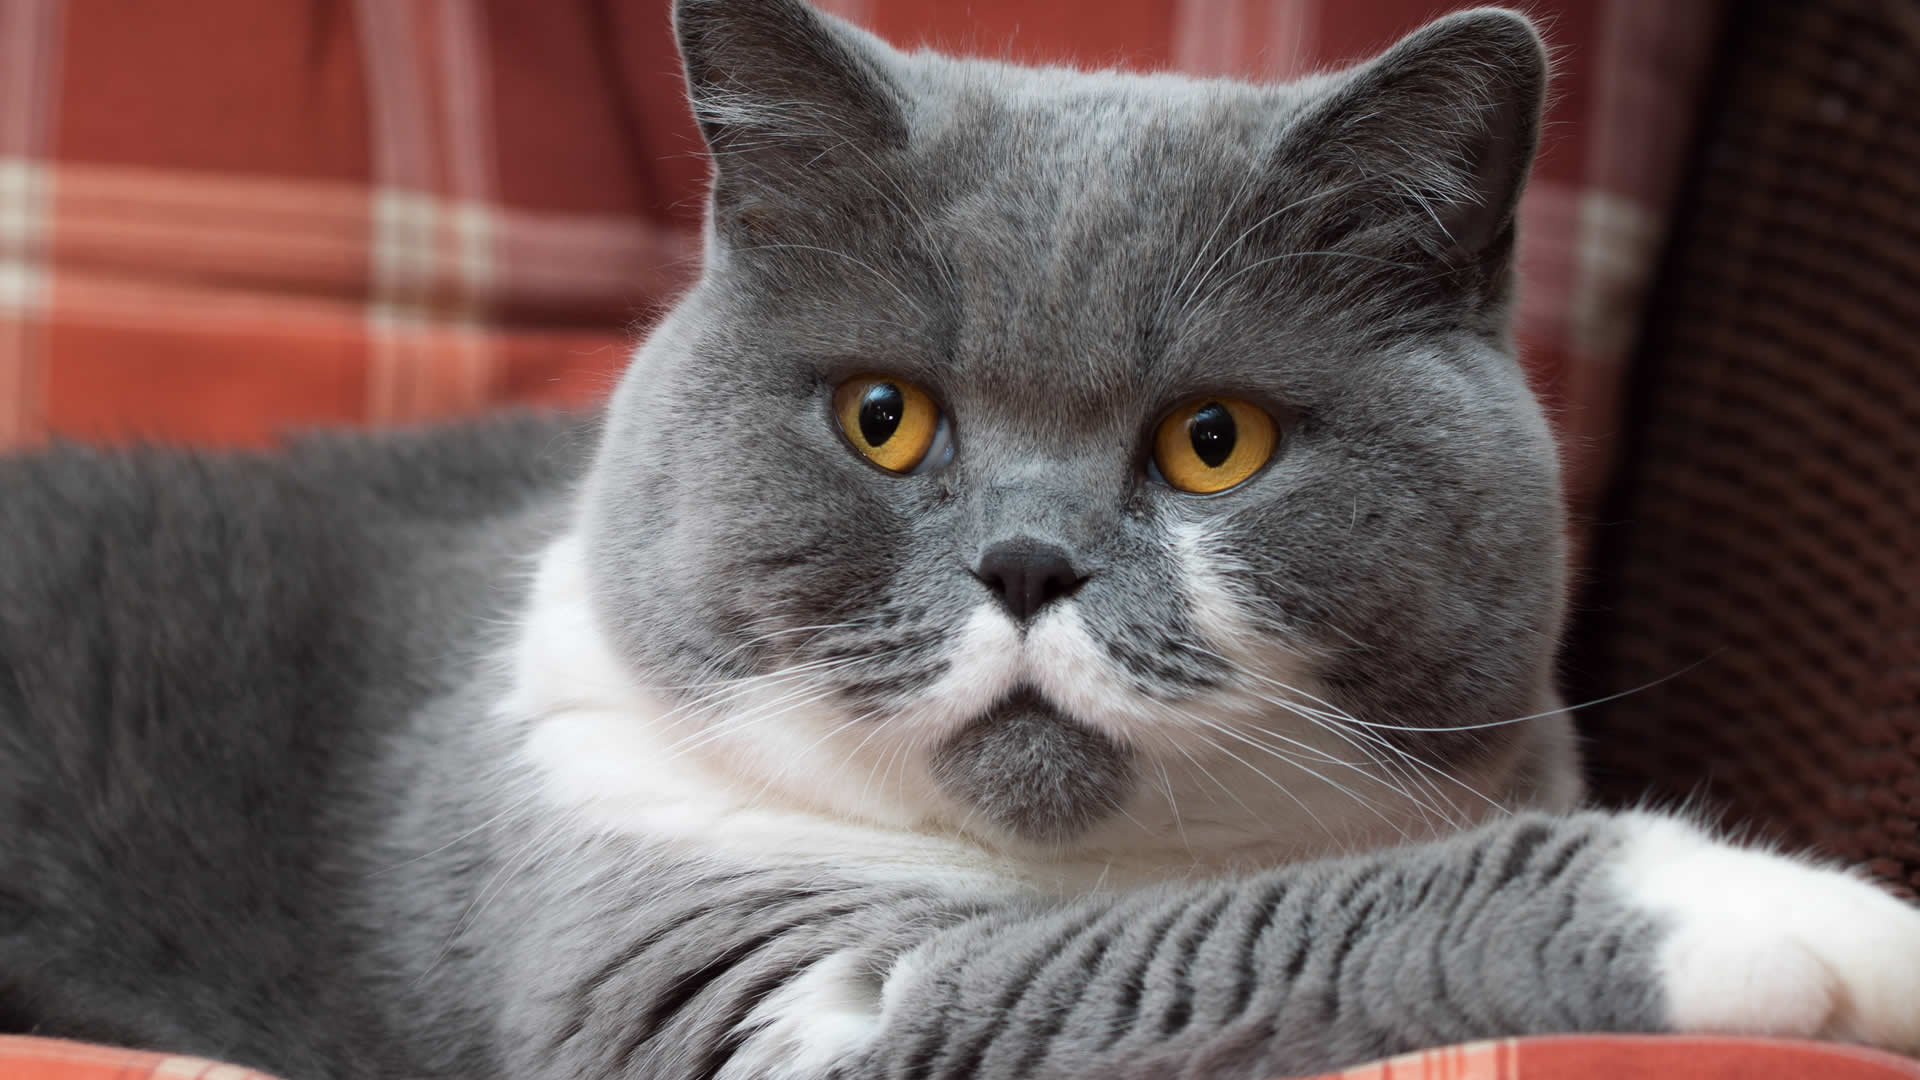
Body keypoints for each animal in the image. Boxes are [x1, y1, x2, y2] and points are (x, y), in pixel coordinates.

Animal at [3, 2, 1920, 1076]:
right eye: (885, 417)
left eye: (1214, 443)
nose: (1027, 566)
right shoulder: (726, 983)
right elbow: (1200, 944)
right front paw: (1815, 923)